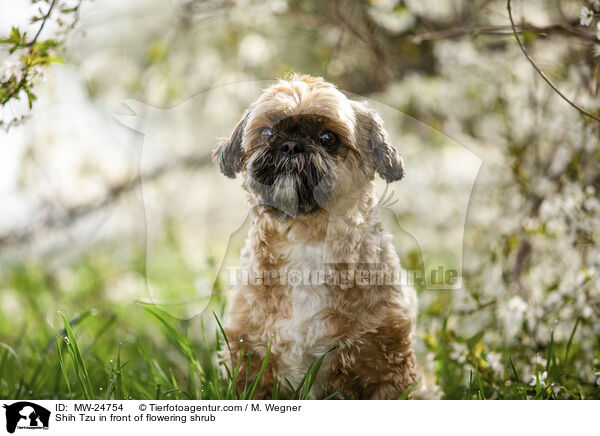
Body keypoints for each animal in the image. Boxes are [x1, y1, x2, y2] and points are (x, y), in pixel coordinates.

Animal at [214, 75, 418, 398]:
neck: (306, 239)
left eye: (327, 138)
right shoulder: (246, 357)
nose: (290, 145)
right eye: (267, 132)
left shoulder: (387, 364)